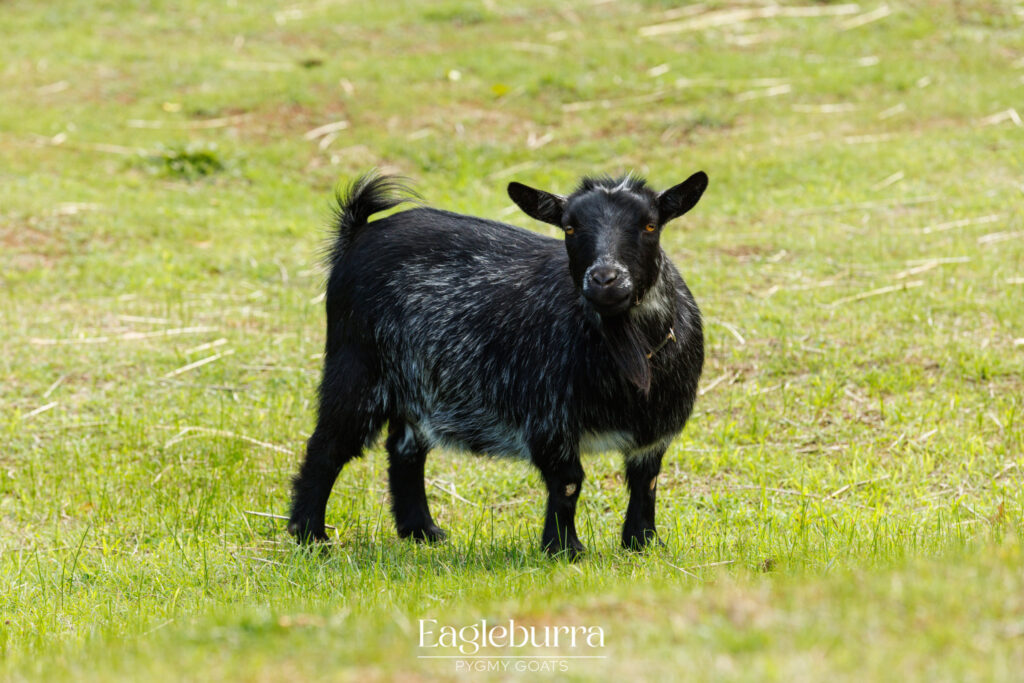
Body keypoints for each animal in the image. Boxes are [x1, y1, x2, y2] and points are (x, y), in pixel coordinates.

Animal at [288, 170, 708, 558]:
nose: (605, 279)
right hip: (356, 368)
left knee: (405, 449)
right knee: (327, 447)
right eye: (570, 227)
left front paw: (643, 543)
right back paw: (309, 534)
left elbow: (646, 482)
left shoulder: (654, 431)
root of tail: (357, 235)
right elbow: (569, 481)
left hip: (420, 385)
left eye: (650, 225)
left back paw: (422, 531)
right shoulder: (548, 419)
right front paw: (564, 549)